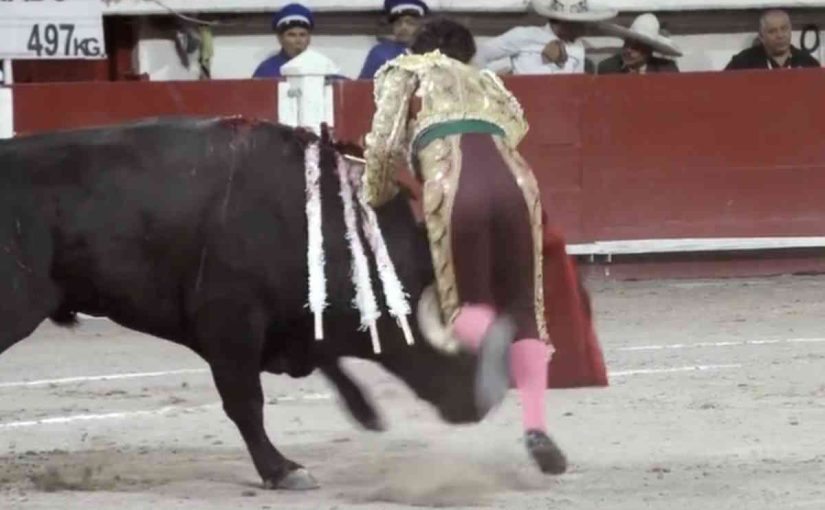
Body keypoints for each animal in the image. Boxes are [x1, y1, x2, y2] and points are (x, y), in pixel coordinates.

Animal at [0, 116, 486, 490]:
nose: (478, 403)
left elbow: (327, 362)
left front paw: (365, 413)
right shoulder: (230, 324)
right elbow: (245, 401)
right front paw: (283, 470)